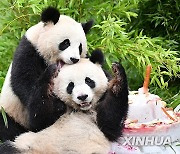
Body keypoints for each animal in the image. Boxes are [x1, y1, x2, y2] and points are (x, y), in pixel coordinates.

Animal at [0, 6, 93, 141]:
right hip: (9, 113)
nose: (74, 59)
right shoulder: (29, 51)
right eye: (66, 43)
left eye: (80, 47)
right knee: (7, 126)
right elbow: (25, 83)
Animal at [0, 50, 129, 154]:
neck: (81, 109)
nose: (82, 97)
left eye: (88, 81)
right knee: (7, 148)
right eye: (70, 85)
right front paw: (50, 75)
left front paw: (118, 79)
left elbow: (109, 123)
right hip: (24, 145)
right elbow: (39, 121)